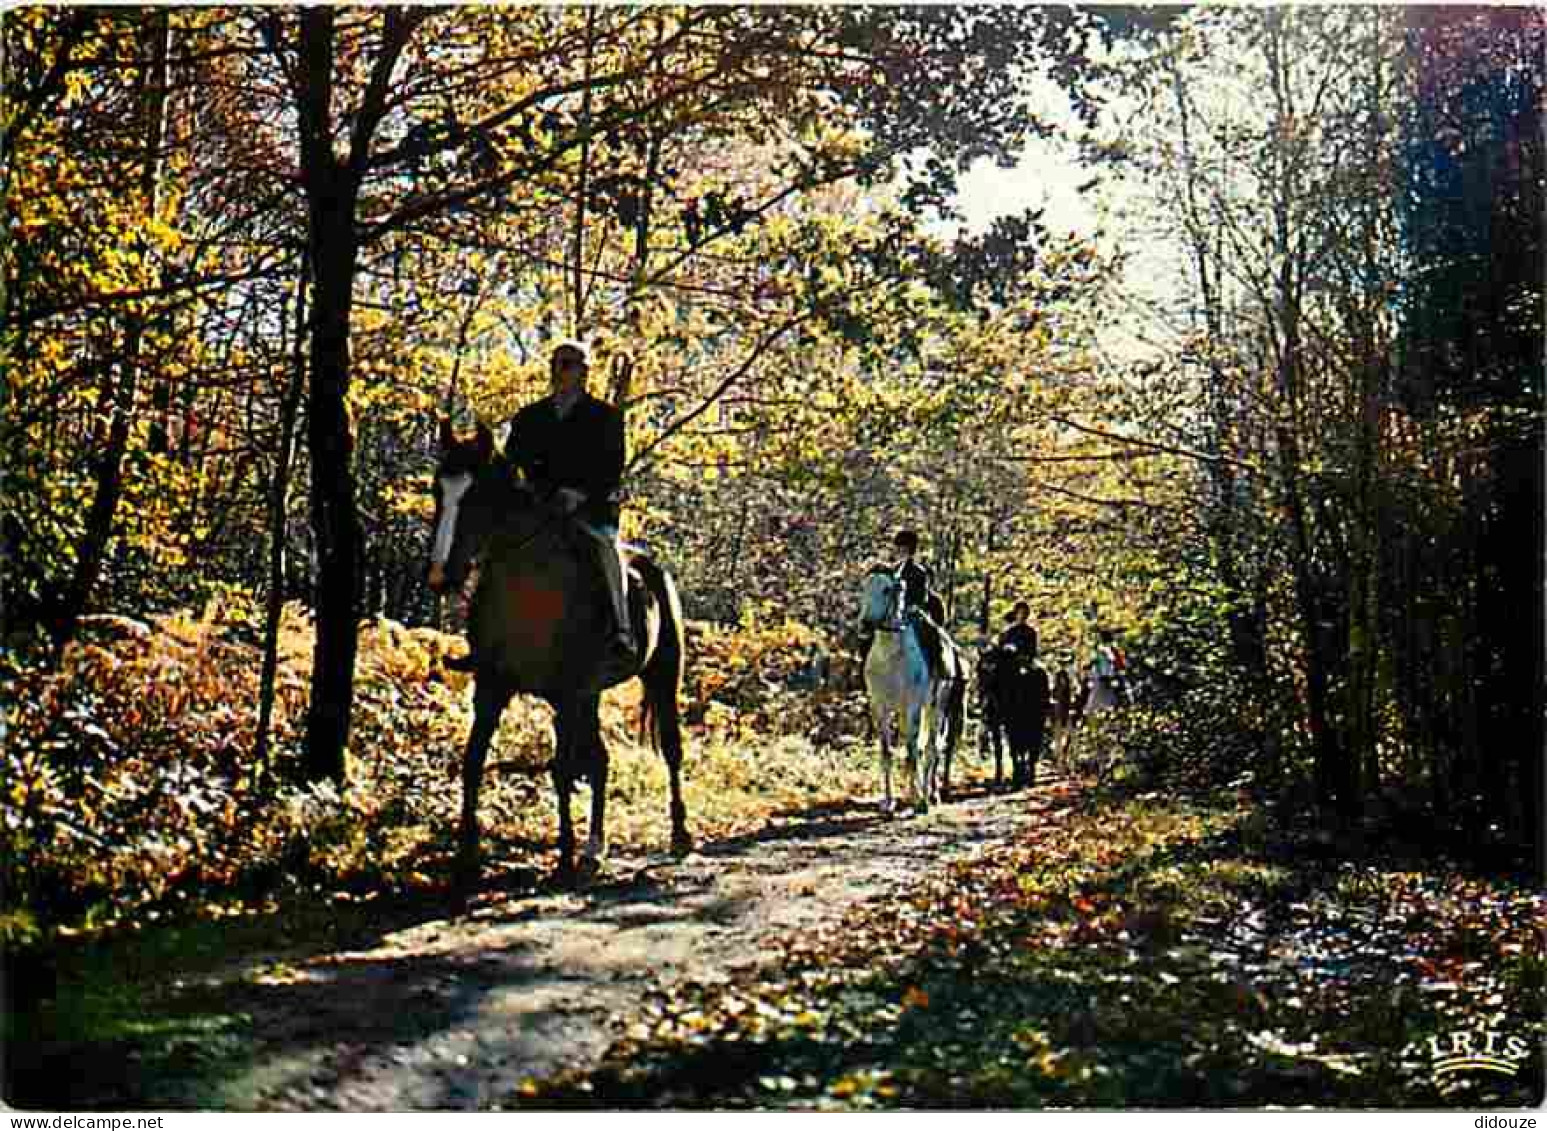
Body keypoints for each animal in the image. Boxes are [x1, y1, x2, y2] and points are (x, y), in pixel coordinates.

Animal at [423, 423, 689, 884]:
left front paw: (563, 856)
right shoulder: (492, 689)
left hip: (659, 675)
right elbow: (473, 760)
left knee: (671, 749)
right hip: (590, 697)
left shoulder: (566, 694)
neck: (530, 591)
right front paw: (466, 857)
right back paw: (594, 849)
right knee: (600, 760)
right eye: (439, 491)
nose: (442, 576)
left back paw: (677, 835)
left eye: (476, 497)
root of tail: (651, 568)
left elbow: (561, 770)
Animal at [853, 569, 959, 810]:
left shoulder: (913, 707)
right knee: (920, 748)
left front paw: (918, 800)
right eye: (864, 587)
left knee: (931, 748)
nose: (864, 625)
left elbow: (913, 753)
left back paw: (930, 795)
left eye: (887, 589)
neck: (890, 656)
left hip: (936, 708)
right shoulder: (880, 708)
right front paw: (889, 802)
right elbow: (887, 753)